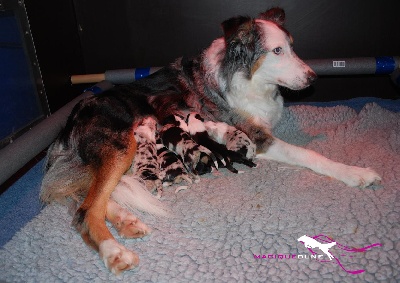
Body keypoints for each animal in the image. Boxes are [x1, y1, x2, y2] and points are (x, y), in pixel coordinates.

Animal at [41, 7, 382, 276]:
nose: (313, 78)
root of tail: (66, 127)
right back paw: (115, 252)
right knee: (85, 210)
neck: (247, 79)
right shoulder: (256, 137)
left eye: (291, 47)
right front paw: (356, 173)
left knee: (86, 198)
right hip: (121, 147)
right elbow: (309, 154)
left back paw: (127, 221)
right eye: (276, 51)